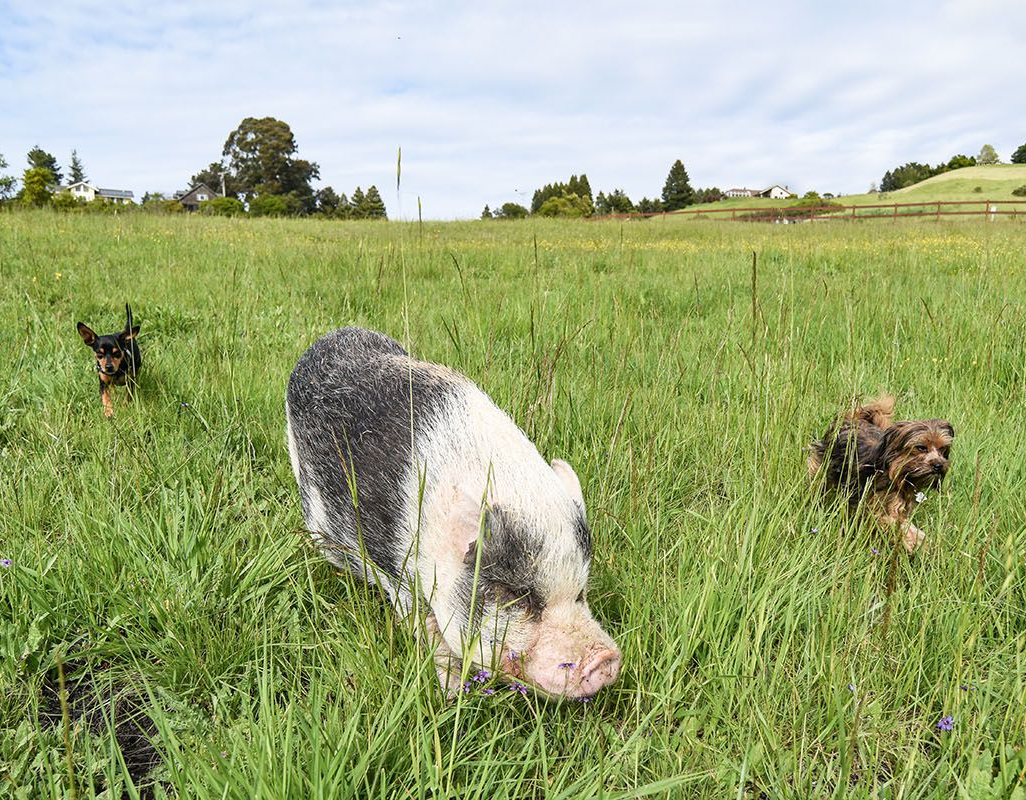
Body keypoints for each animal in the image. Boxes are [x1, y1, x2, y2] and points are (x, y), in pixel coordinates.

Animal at [285, 327, 621, 698]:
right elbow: (424, 624)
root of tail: (330, 337)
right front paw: (453, 692)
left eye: (580, 592)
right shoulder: (394, 571)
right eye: (517, 596)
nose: (605, 658)